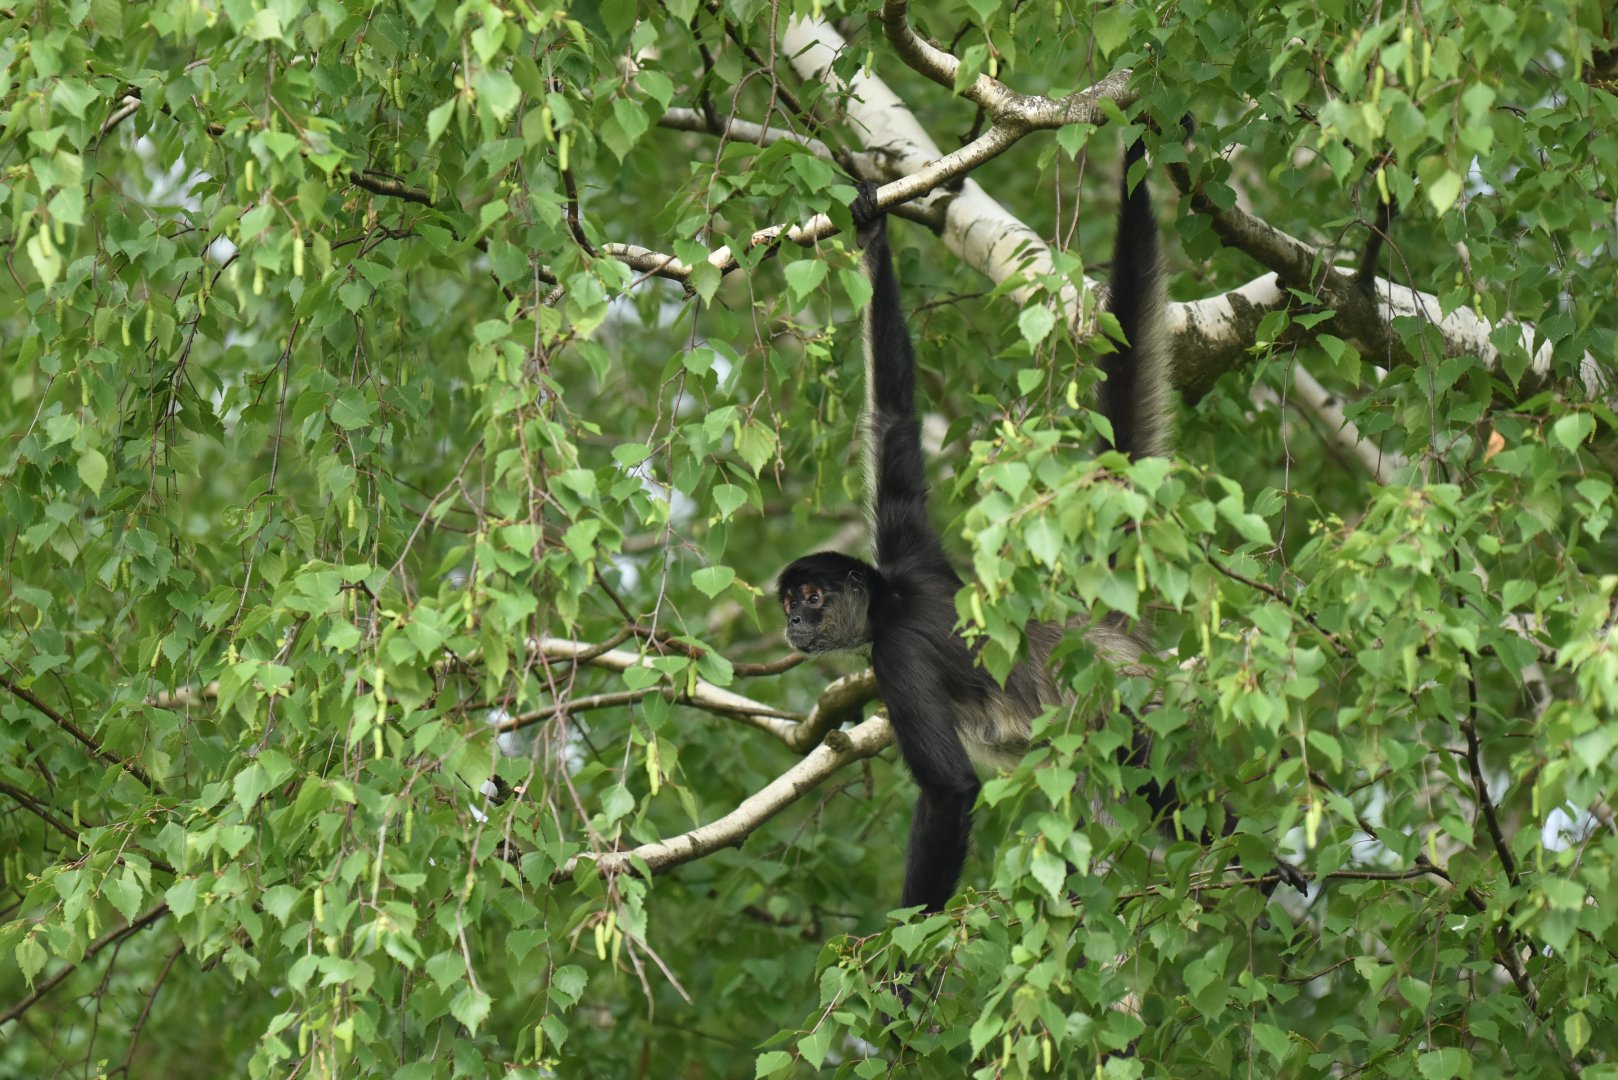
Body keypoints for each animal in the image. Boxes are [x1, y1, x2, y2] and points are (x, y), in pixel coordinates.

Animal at [777, 138, 1304, 915]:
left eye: (811, 598)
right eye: (790, 600)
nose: (793, 621)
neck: (892, 598)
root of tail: (1094, 625)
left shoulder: (897, 654)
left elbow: (950, 790)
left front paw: (906, 949)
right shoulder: (908, 543)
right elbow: (894, 415)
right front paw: (871, 232)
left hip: (1123, 698)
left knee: (1143, 773)